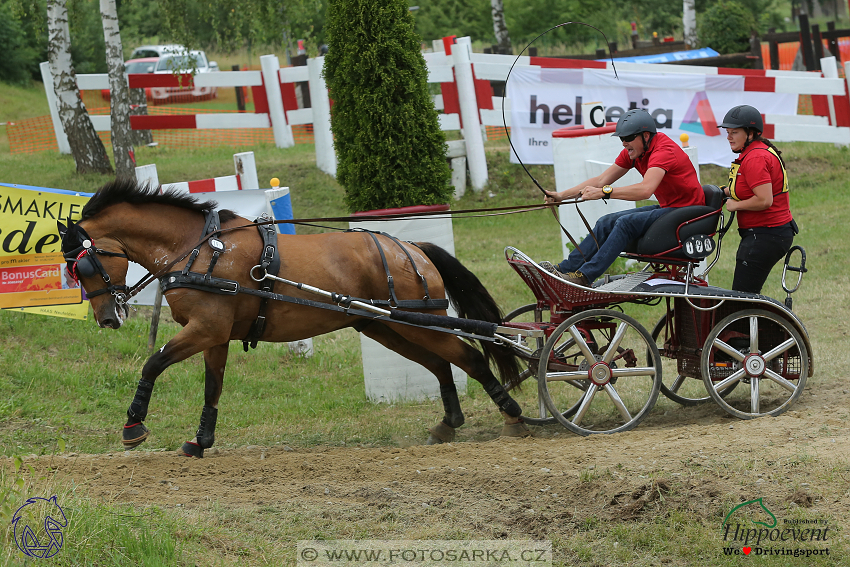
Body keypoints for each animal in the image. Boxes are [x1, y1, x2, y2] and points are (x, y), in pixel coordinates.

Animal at [56, 180, 528, 460]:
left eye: (83, 267)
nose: (107, 318)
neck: (200, 250)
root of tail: (411, 247)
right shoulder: (215, 335)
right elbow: (213, 386)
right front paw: (201, 440)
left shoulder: (205, 329)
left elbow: (153, 362)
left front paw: (133, 425)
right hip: (385, 326)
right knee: (440, 363)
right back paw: (448, 424)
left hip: (412, 322)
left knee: (470, 357)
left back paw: (514, 417)